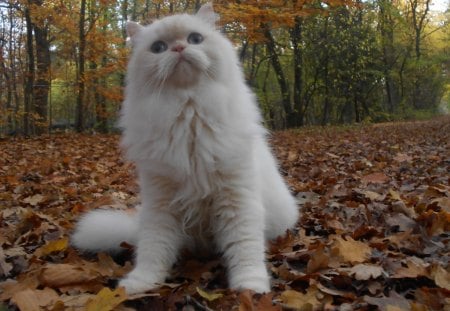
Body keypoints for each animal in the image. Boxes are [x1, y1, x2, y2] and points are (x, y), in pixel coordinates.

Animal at [72, 2, 298, 294]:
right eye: (158, 47)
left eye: (195, 39)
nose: (179, 48)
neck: (187, 110)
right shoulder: (161, 200)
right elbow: (153, 249)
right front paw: (140, 283)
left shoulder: (236, 196)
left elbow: (244, 247)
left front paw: (250, 287)